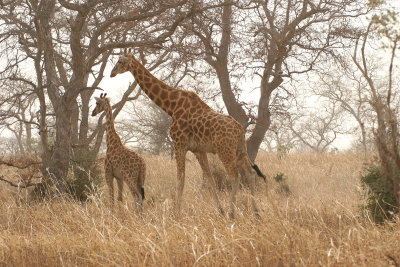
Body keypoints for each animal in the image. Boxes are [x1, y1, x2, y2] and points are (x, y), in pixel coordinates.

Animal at [110, 50, 266, 220]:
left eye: (119, 61)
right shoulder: (199, 150)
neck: (171, 107)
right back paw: (256, 213)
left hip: (224, 150)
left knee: (234, 176)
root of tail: (239, 130)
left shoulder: (179, 144)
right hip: (240, 150)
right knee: (250, 174)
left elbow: (180, 179)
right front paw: (219, 210)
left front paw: (176, 213)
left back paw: (232, 214)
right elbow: (210, 179)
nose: (112, 73)